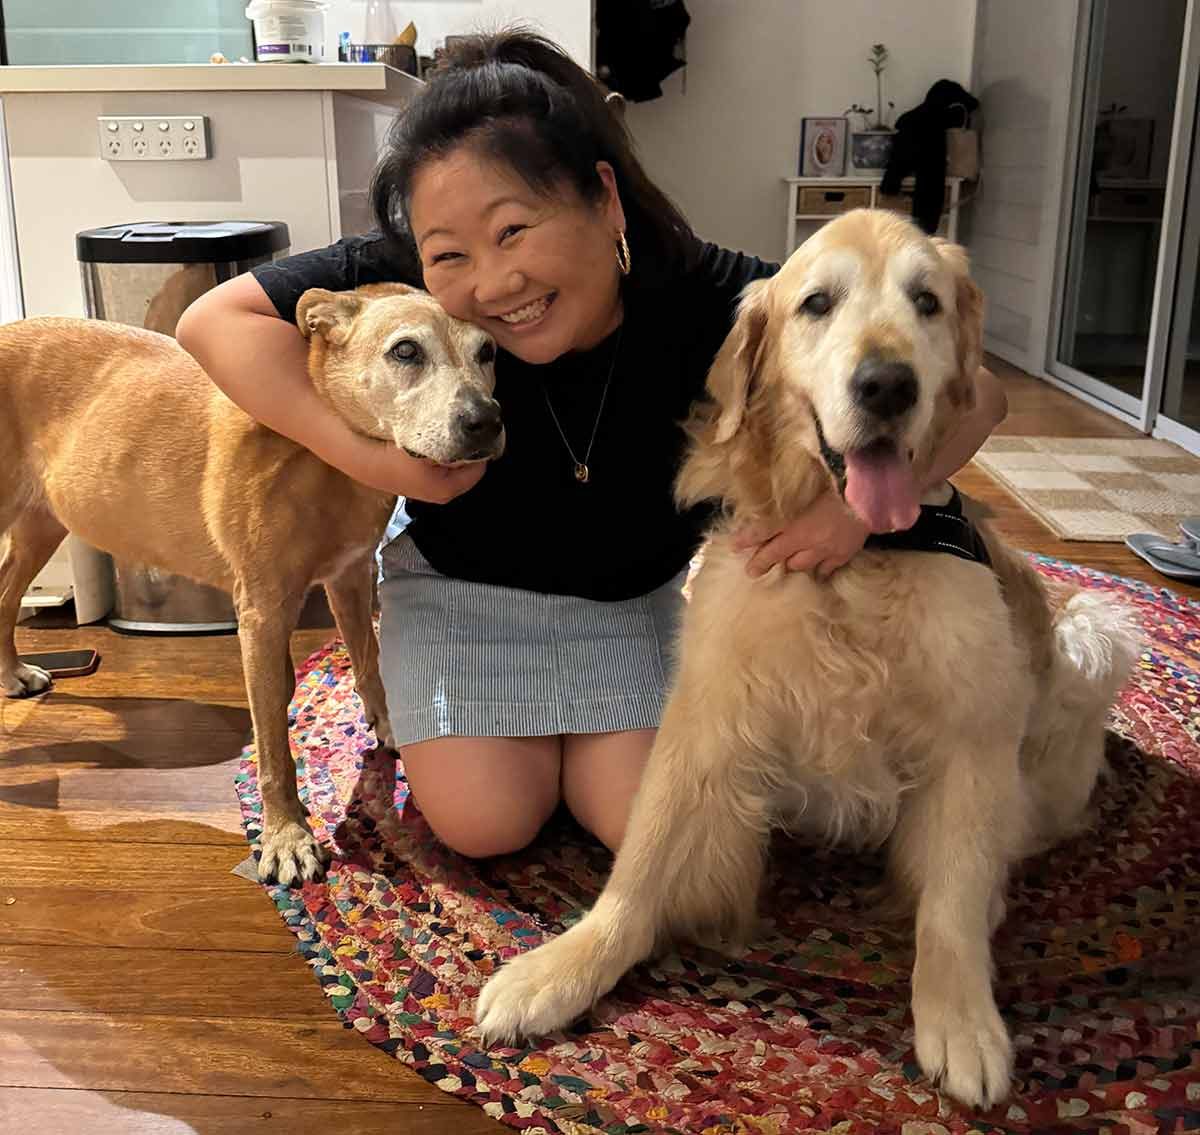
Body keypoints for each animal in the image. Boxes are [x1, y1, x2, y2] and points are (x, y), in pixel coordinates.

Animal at [0, 283, 503, 885]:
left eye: (488, 352)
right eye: (405, 351)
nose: (487, 422)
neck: (322, 453)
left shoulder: (351, 575)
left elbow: (370, 662)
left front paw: (388, 724)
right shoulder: (263, 613)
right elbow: (272, 748)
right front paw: (287, 834)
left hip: (41, 525)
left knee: (3, 598)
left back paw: (11, 673)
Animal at [474, 210, 1138, 1108]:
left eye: (927, 301)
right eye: (817, 302)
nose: (887, 385)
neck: (855, 562)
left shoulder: (974, 735)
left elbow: (953, 900)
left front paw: (961, 1016)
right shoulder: (708, 709)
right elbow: (640, 863)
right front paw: (562, 967)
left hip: (1091, 633)